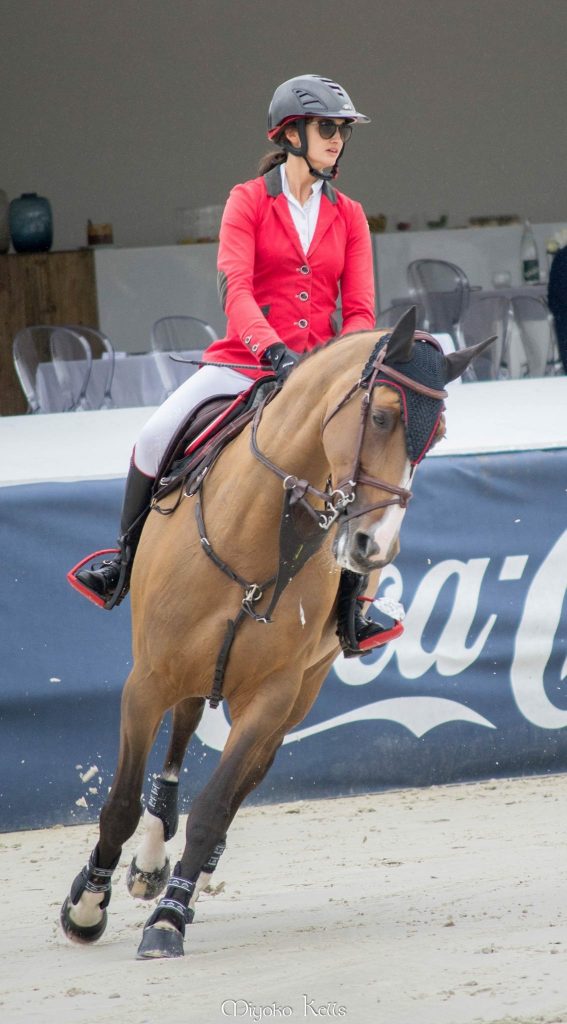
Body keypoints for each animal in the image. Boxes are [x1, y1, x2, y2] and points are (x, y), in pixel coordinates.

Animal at [58, 305, 489, 958]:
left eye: (435, 436)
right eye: (382, 416)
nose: (375, 548)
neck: (258, 532)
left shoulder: (271, 697)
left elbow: (216, 806)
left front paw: (169, 918)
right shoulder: (147, 681)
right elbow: (121, 804)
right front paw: (86, 905)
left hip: (296, 693)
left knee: (241, 778)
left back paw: (182, 869)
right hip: (191, 668)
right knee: (182, 730)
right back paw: (150, 857)